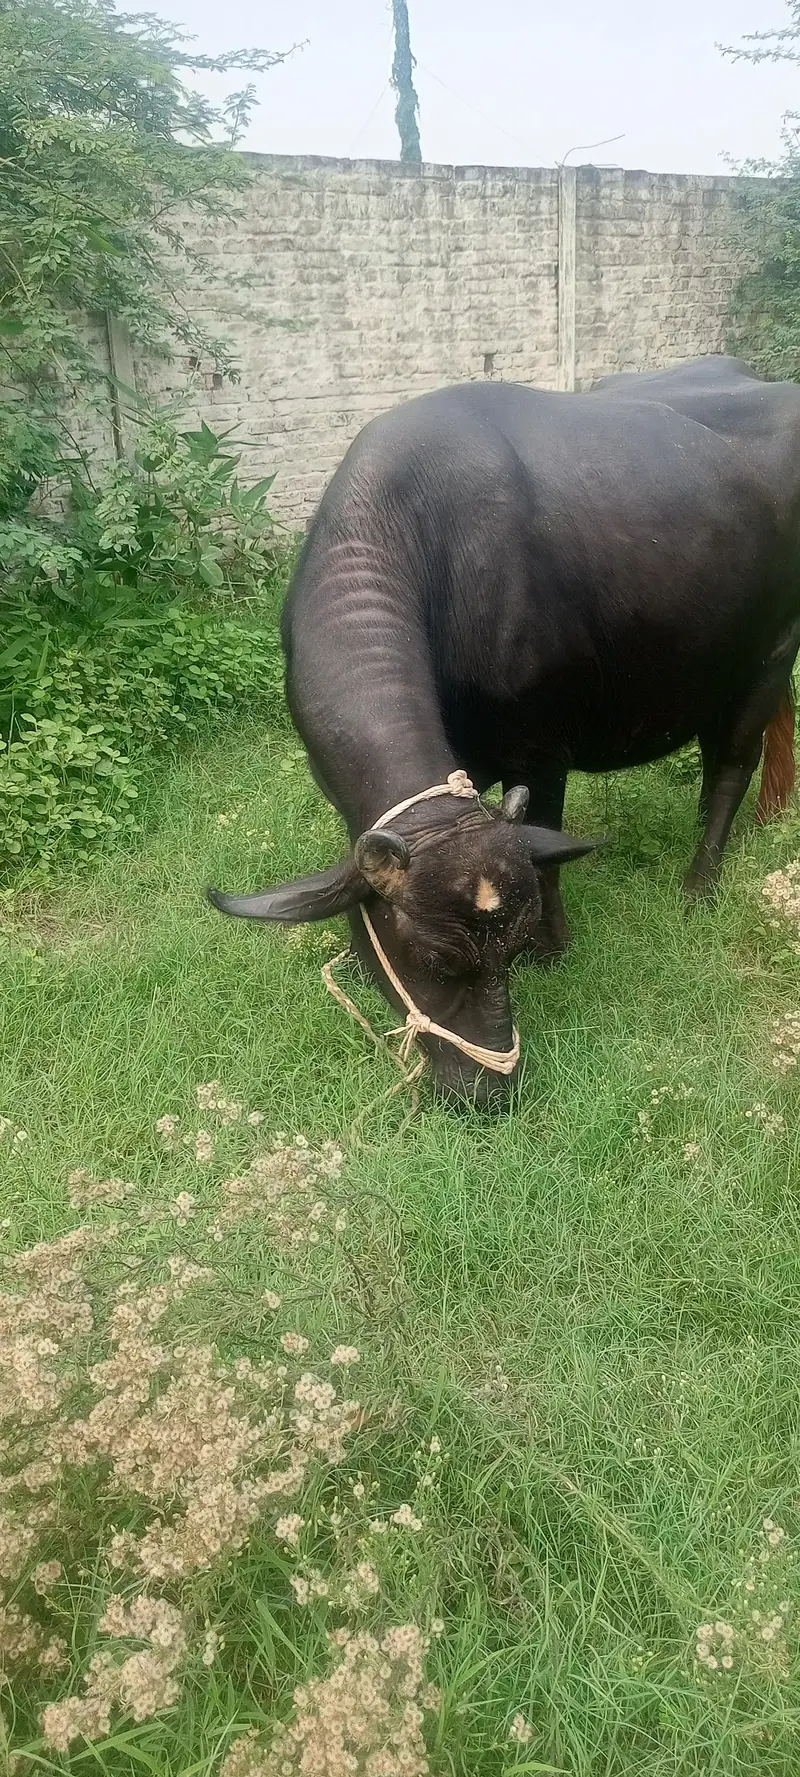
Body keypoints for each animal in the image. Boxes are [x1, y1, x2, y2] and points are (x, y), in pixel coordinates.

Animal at [210, 356, 797, 1107]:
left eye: (511, 949)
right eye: (434, 959)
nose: (489, 1091)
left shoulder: (541, 752)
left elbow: (547, 854)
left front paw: (556, 946)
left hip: (771, 655)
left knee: (731, 765)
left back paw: (701, 881)